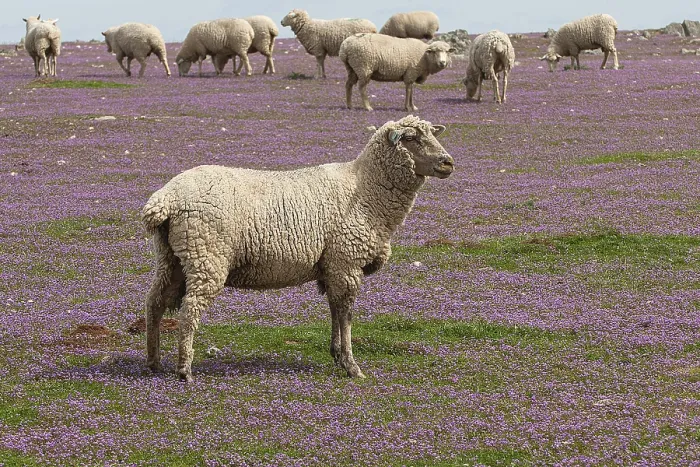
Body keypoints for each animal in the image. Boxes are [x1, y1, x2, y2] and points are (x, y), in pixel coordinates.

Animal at [141, 115, 455, 382]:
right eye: (411, 138)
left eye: (432, 134)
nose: (448, 163)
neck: (365, 189)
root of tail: (165, 199)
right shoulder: (346, 262)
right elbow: (346, 315)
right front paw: (352, 365)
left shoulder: (332, 267)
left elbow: (334, 310)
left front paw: (337, 354)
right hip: (207, 256)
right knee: (189, 310)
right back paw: (184, 369)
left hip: (173, 257)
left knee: (154, 302)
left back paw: (154, 362)